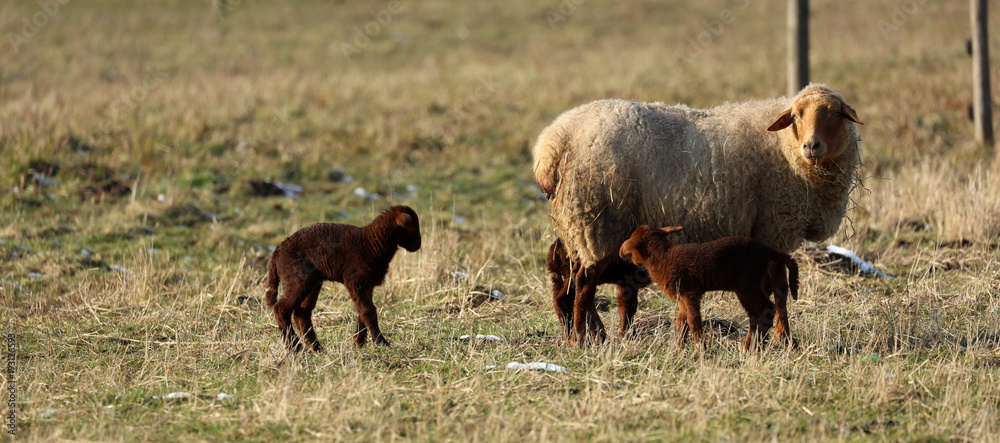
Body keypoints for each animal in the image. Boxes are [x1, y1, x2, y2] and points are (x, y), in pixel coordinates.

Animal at [264, 205, 421, 351]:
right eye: (412, 228)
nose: (418, 245)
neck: (372, 243)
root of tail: (276, 254)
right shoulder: (354, 281)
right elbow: (368, 311)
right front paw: (381, 342)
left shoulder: (366, 285)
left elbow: (363, 312)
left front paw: (359, 342)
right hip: (298, 279)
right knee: (281, 308)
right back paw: (294, 347)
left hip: (313, 282)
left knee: (301, 314)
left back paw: (316, 348)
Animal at [619, 225, 799, 351]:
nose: (629, 260)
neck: (662, 257)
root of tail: (769, 251)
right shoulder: (682, 296)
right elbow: (681, 321)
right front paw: (678, 349)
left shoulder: (689, 292)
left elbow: (693, 321)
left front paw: (701, 352)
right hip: (748, 287)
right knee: (756, 315)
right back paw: (750, 347)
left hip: (747, 284)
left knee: (767, 309)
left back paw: (753, 348)